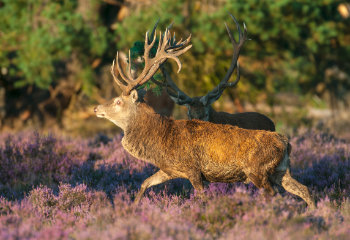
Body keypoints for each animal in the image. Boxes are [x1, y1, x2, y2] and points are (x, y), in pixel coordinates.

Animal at [94, 20, 316, 209]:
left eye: (118, 101)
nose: (96, 109)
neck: (161, 141)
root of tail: (286, 142)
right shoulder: (169, 169)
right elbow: (144, 184)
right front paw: (132, 208)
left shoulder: (194, 170)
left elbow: (201, 197)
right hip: (281, 170)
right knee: (303, 189)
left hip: (257, 170)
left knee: (275, 194)